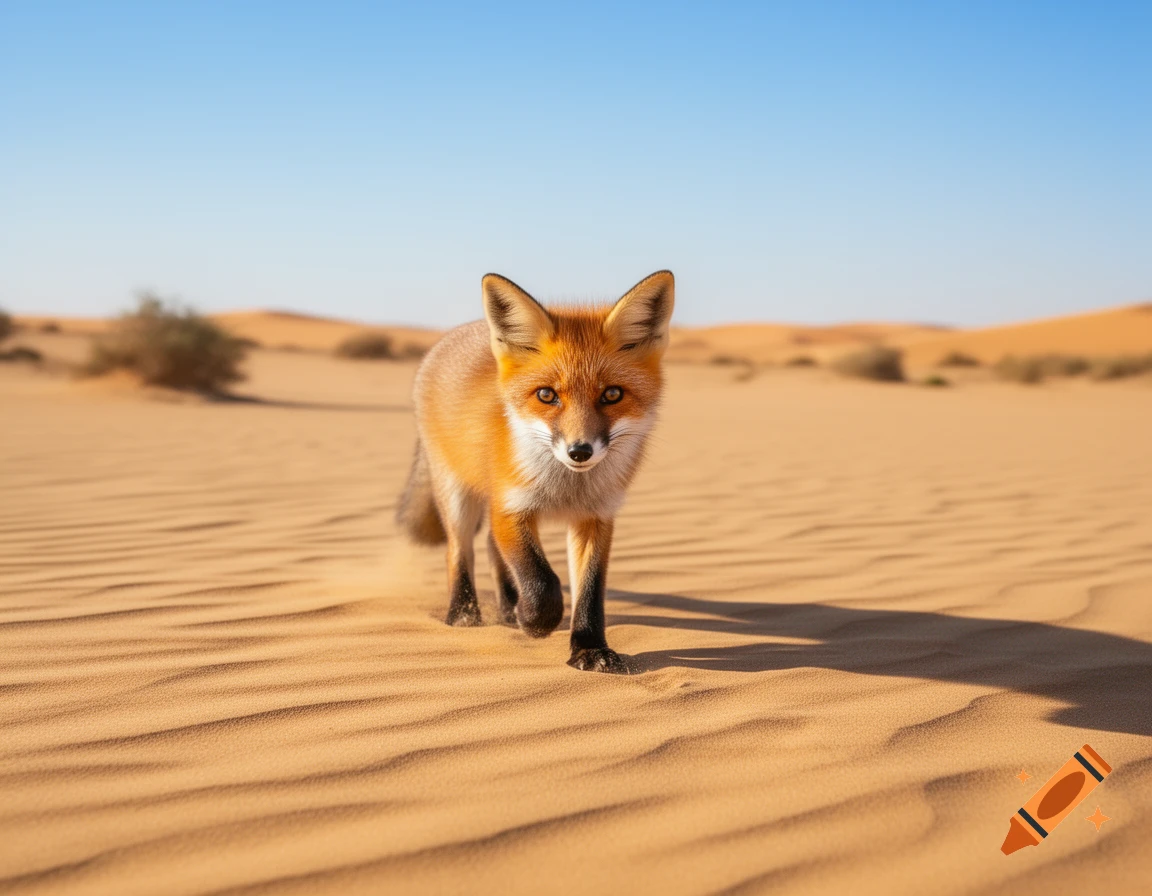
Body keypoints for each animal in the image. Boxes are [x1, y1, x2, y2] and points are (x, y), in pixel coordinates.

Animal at [396, 270, 674, 673]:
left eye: (612, 395)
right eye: (546, 395)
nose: (580, 451)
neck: (566, 489)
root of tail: (452, 337)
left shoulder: (596, 517)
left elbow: (589, 592)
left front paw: (589, 649)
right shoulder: (510, 506)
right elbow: (543, 582)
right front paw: (534, 621)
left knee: (491, 547)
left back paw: (507, 607)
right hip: (457, 494)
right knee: (459, 550)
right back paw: (464, 614)